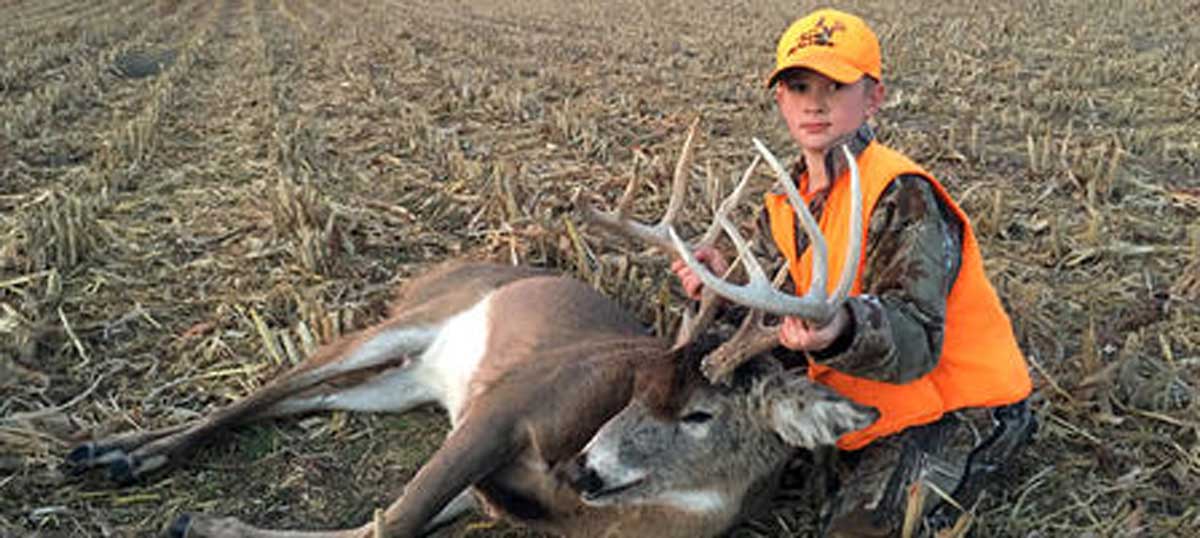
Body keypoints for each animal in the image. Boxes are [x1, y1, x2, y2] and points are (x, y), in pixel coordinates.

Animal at [64, 120, 874, 538]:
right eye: (633, 388)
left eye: (700, 414)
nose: (584, 466)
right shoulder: (508, 405)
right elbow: (391, 522)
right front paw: (199, 521)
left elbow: (374, 524)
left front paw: (211, 526)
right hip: (401, 326)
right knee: (261, 392)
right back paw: (117, 455)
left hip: (404, 383)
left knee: (298, 401)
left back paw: (116, 456)